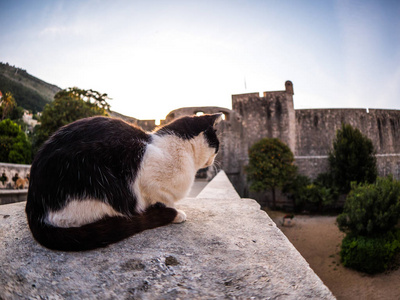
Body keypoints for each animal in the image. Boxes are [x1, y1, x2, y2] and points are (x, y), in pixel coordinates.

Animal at [25, 113, 222, 252]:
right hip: (100, 183)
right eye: (217, 146)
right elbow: (162, 198)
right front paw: (174, 211)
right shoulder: (148, 178)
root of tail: (34, 206)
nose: (215, 160)